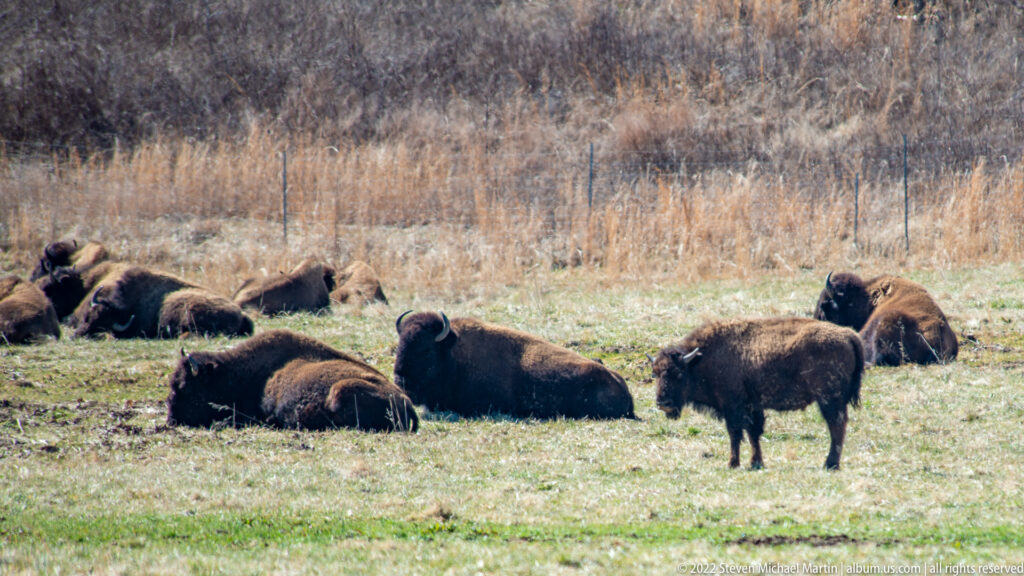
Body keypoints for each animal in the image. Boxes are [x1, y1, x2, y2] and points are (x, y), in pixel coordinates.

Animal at [652, 317, 863, 470]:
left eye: (679, 374)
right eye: (655, 374)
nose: (663, 403)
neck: (701, 359)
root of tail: (848, 335)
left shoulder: (733, 407)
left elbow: (735, 433)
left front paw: (733, 463)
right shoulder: (753, 406)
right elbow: (753, 433)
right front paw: (756, 463)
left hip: (829, 399)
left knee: (836, 426)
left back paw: (830, 464)